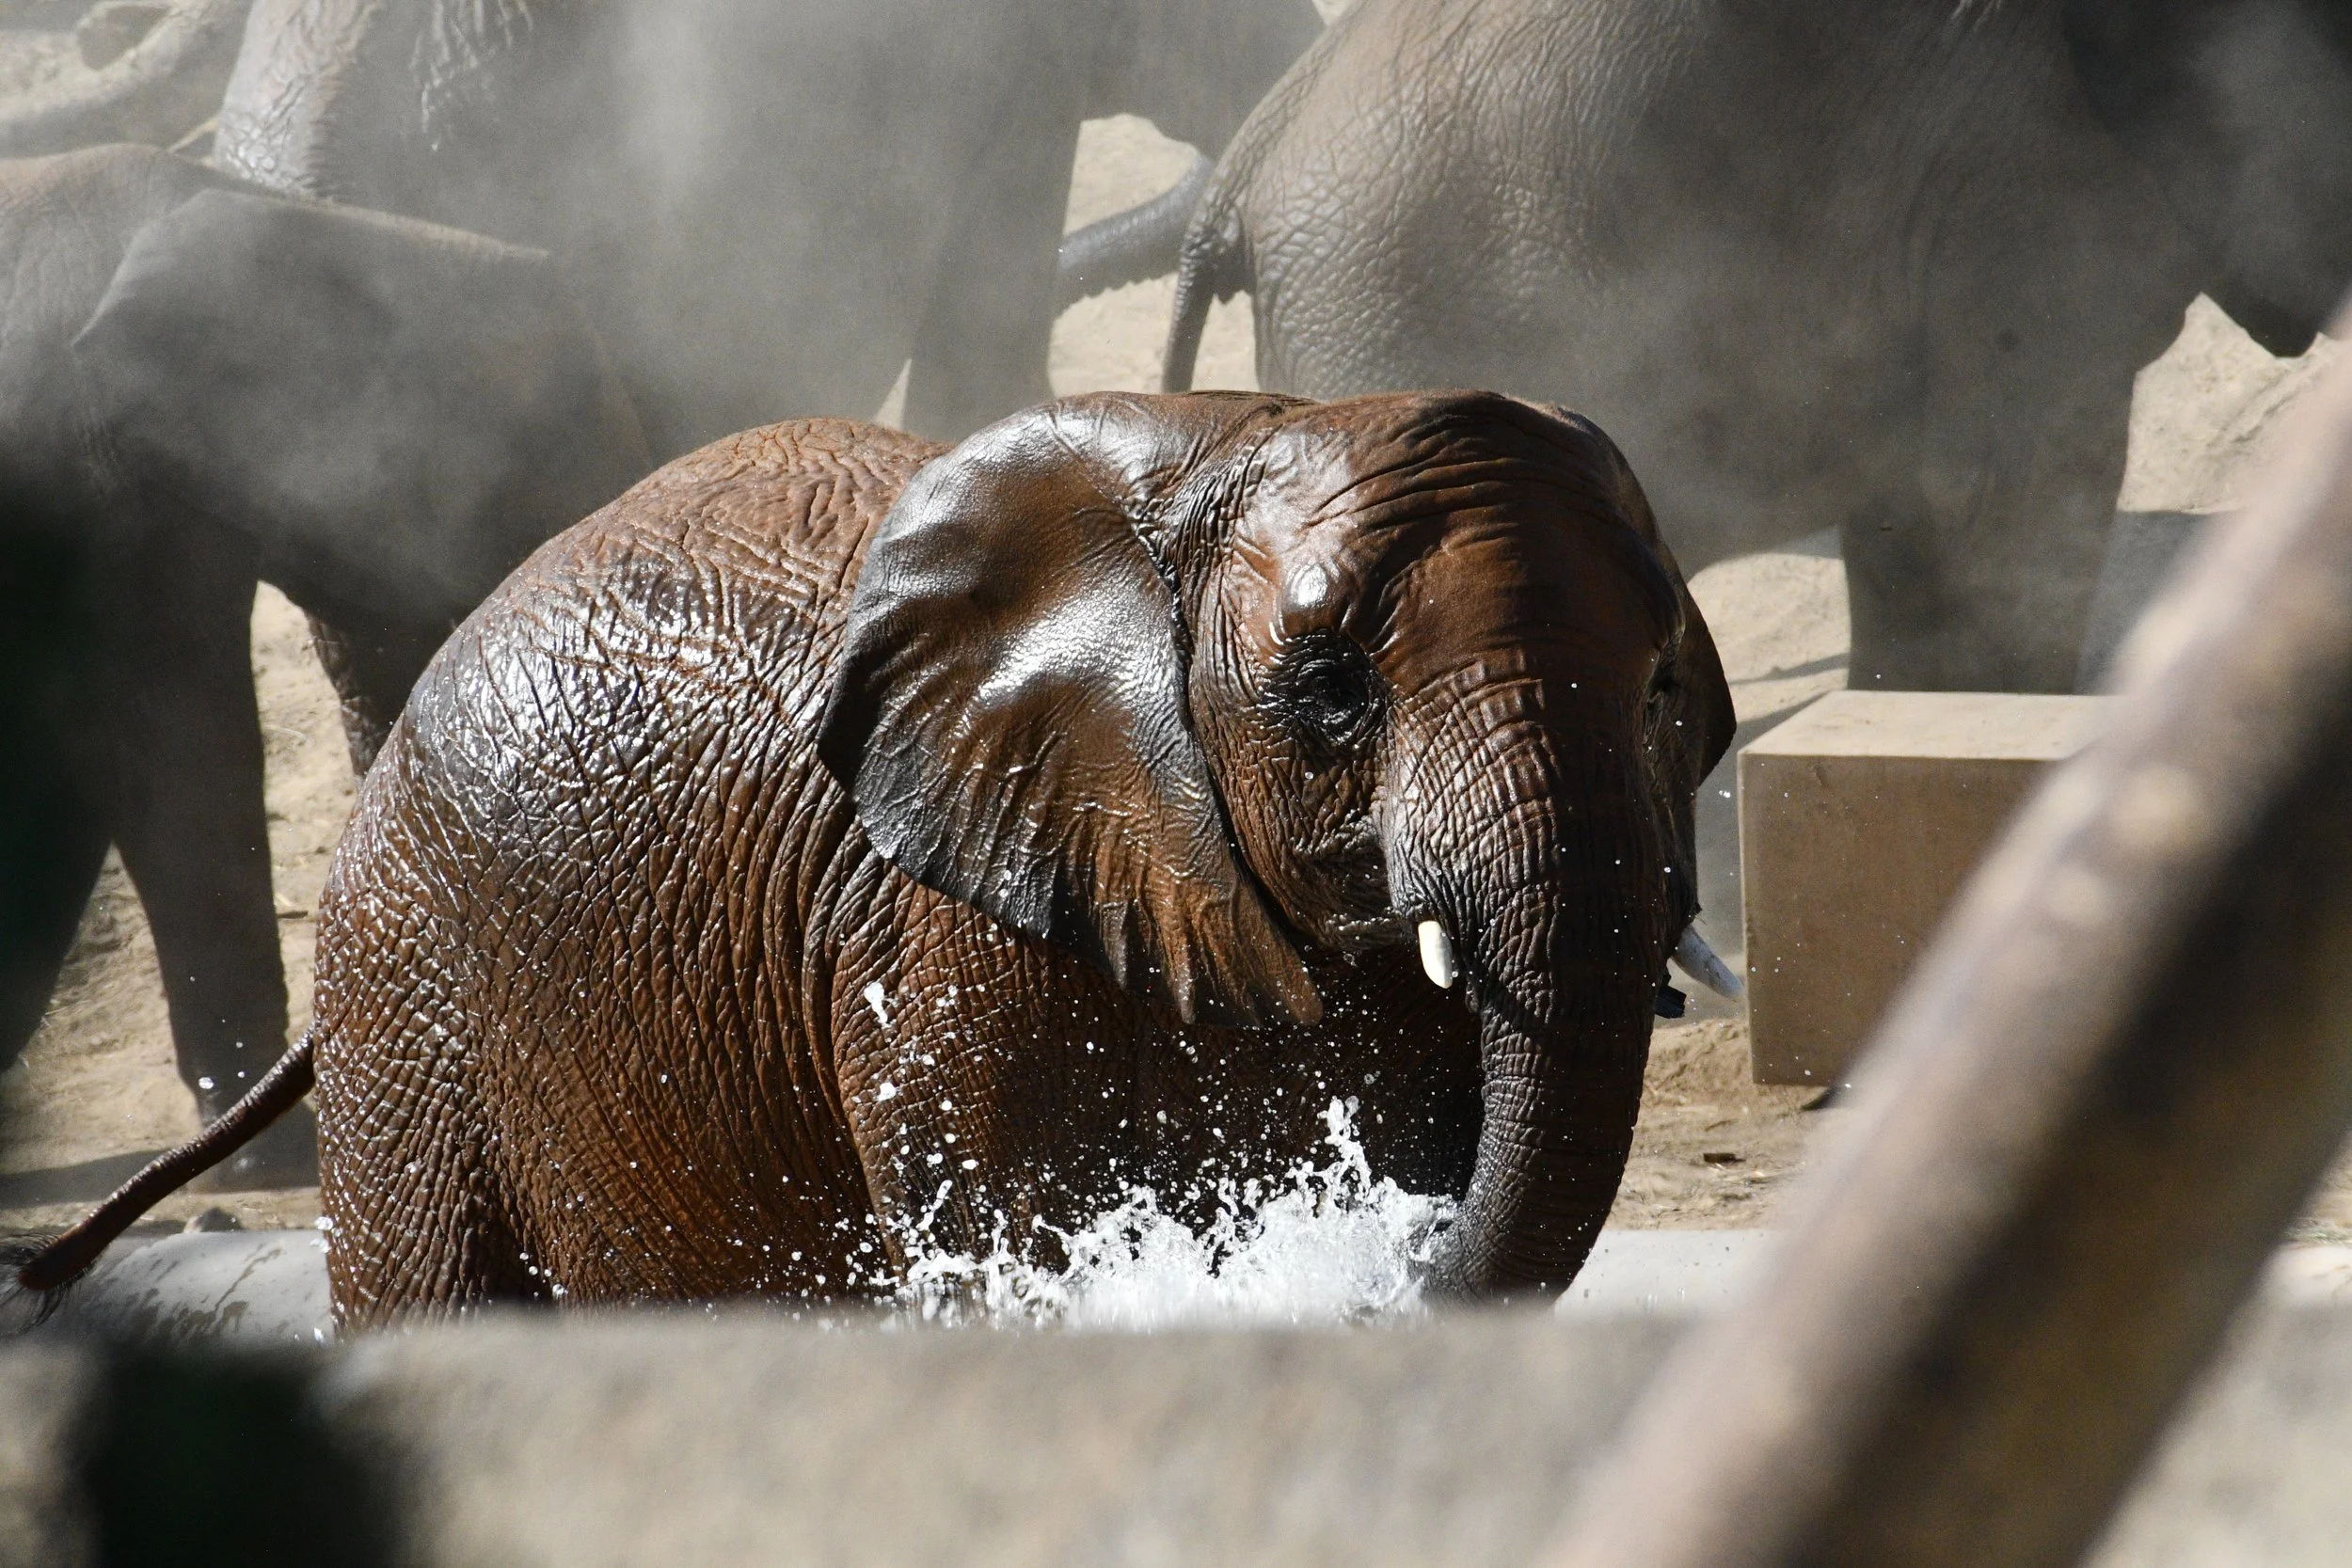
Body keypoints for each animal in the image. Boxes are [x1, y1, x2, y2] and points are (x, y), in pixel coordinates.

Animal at [11, 389, 1738, 1318]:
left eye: (1665, 687)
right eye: (1328, 691)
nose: (1378, 1280)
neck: (1223, 442)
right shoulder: (939, 950)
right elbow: (1011, 1261)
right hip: (408, 1000)